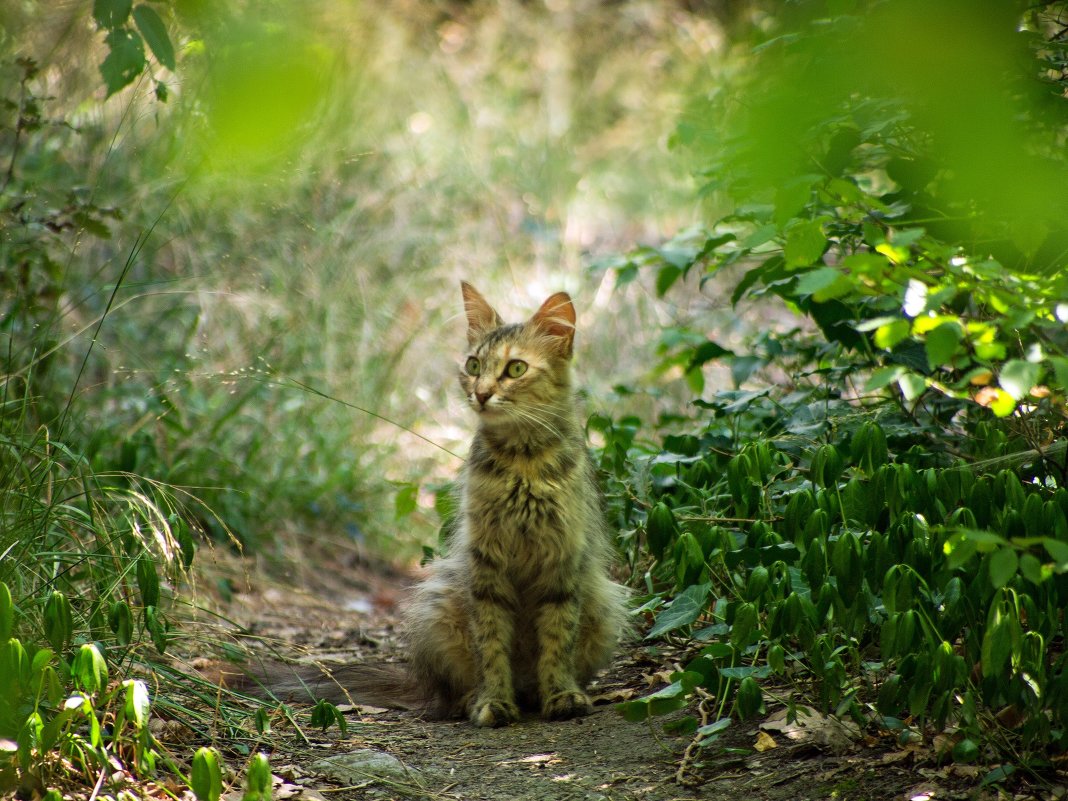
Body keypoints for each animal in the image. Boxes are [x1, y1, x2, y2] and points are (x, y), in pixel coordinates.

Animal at [223, 281, 623, 726]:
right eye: (473, 365)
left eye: (516, 369)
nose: (481, 394)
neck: (523, 460)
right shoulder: (486, 565)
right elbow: (491, 646)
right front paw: (493, 702)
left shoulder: (563, 561)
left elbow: (557, 640)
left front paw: (561, 695)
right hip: (441, 602)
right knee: (453, 692)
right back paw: (475, 700)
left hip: (602, 602)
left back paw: (538, 696)